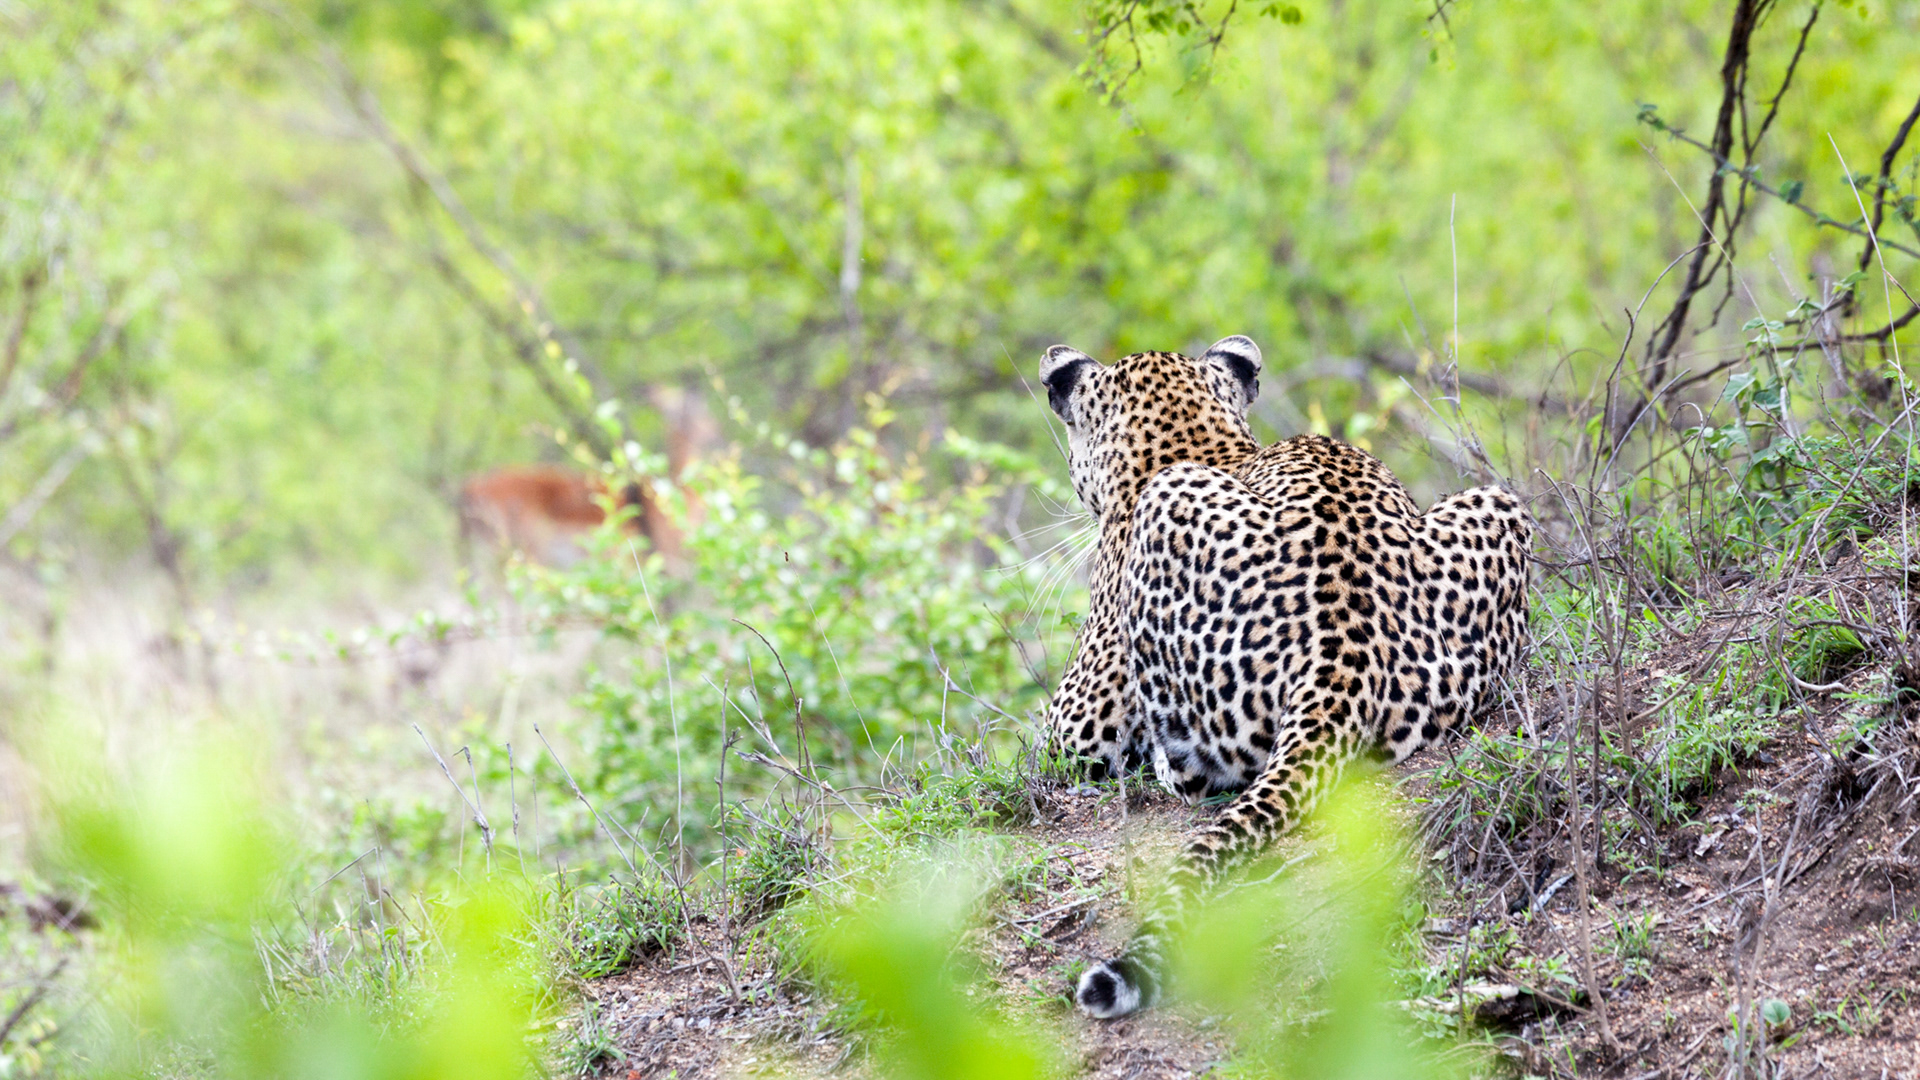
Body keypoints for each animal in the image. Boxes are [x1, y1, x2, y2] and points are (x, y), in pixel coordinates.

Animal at [1037, 335, 1532, 1019]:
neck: (1193, 441)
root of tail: (1344, 652)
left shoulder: (1083, 720)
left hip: (1173, 515)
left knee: (1199, 778)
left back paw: (1165, 767)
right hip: (1497, 503)